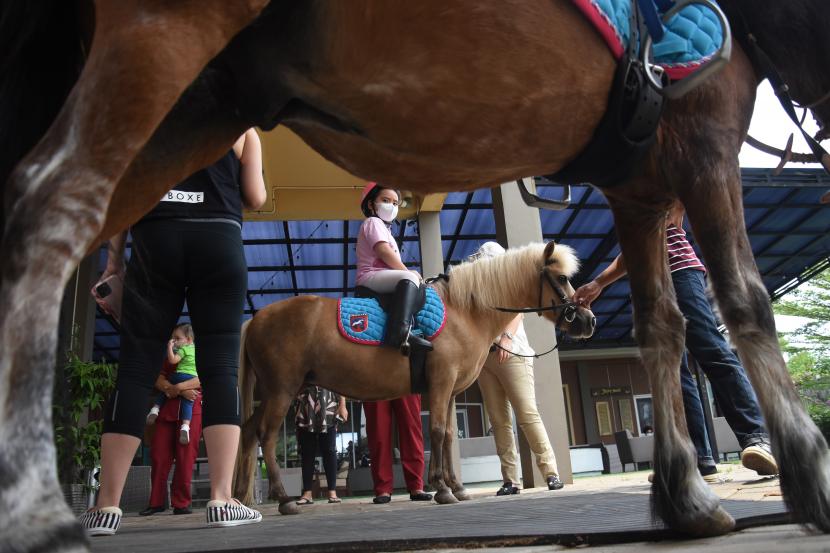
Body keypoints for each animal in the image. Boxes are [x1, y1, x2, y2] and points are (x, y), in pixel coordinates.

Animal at [234, 242, 600, 512]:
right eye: (562, 278)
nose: (588, 321)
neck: (464, 310)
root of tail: (255, 320)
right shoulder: (441, 382)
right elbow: (436, 432)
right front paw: (441, 488)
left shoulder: (451, 390)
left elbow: (449, 435)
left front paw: (456, 487)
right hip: (282, 391)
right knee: (266, 436)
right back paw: (283, 499)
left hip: (273, 392)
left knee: (249, 432)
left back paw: (241, 497)